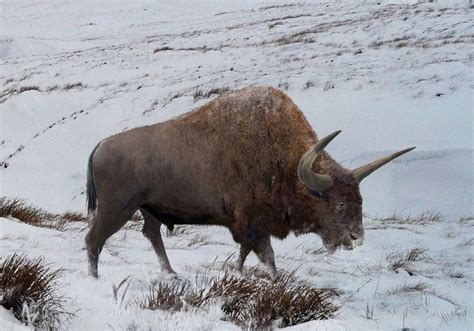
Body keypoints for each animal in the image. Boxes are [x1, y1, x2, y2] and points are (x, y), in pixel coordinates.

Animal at [85, 85, 414, 278]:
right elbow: (266, 255)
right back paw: (95, 277)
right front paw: (275, 280)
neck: (288, 165)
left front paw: (238, 272)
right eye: (339, 204)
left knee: (151, 235)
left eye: (360, 200)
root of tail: (101, 145)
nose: (357, 237)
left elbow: (245, 252)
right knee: (94, 239)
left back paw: (172, 273)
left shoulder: (252, 225)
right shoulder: (252, 224)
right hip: (117, 209)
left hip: (147, 209)